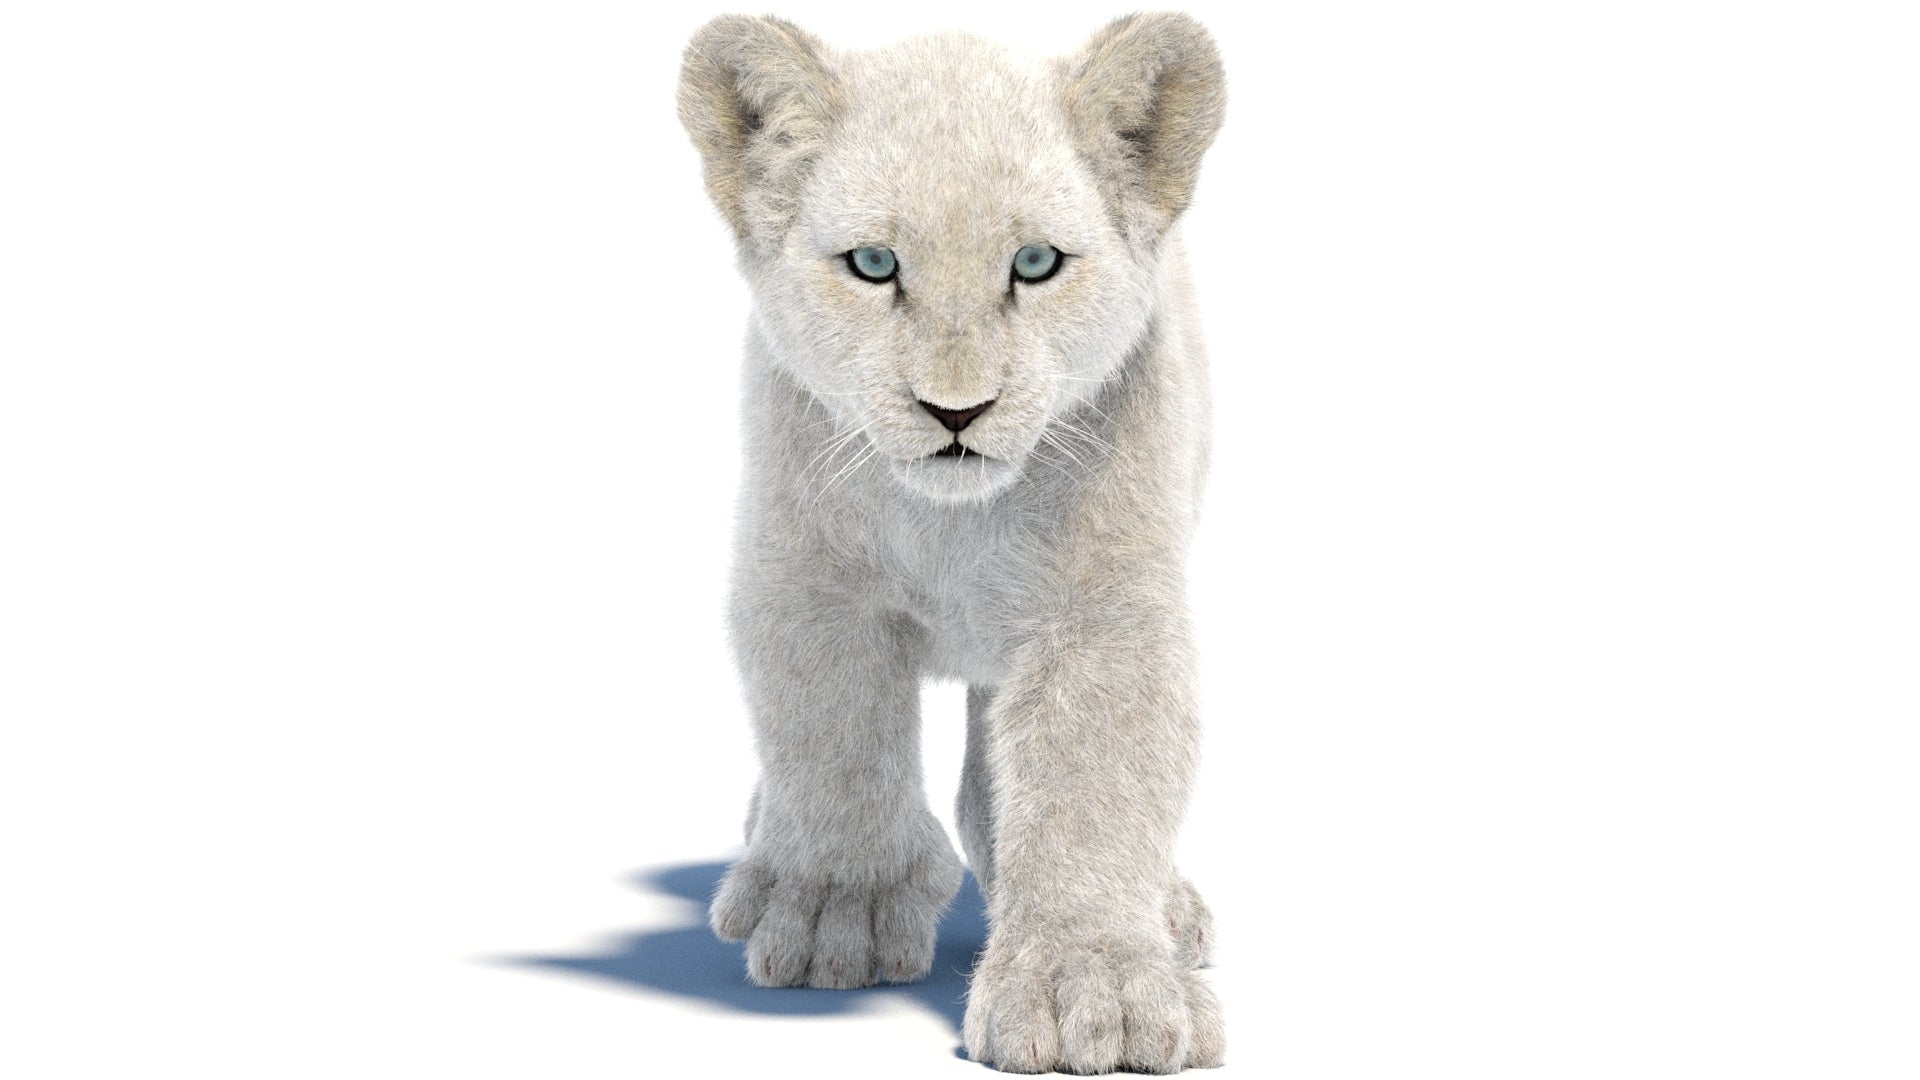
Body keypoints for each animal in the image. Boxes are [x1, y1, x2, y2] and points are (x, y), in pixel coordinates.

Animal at [676, 13, 1227, 1073]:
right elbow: (832, 741)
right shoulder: (806, 583)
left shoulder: (1103, 615)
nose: (956, 410)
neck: (953, 526)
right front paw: (834, 913)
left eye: (1036, 264)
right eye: (874, 265)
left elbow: (1095, 783)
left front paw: (1093, 988)